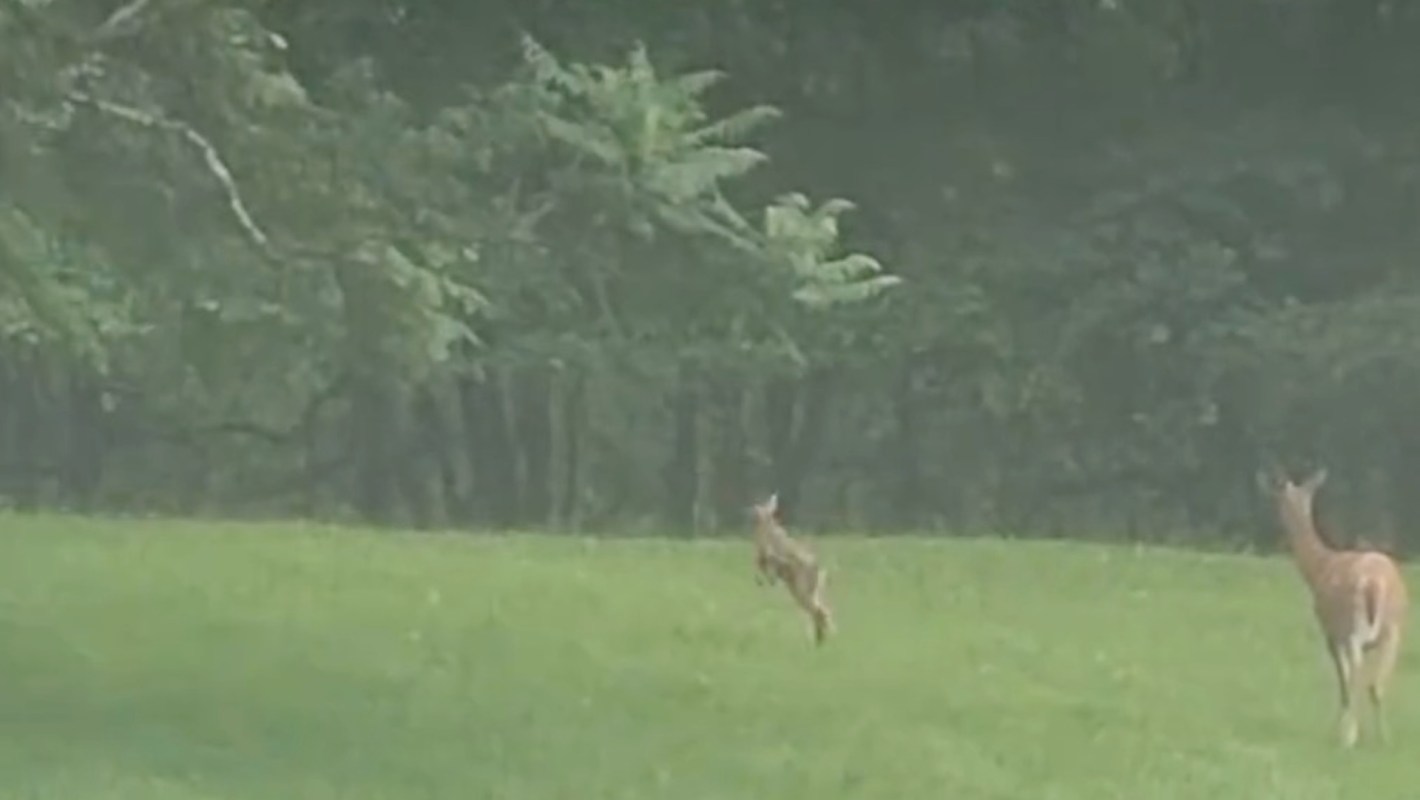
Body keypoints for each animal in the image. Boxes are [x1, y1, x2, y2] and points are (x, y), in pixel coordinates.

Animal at [751, 492, 834, 645]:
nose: (755, 511)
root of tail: (816, 568)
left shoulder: (770, 556)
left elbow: (766, 566)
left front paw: (767, 580)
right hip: (803, 592)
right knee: (819, 611)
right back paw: (819, 642)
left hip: (801, 591)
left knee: (820, 612)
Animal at [1259, 466, 1408, 747]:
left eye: (1280, 500)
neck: (1320, 569)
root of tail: (1374, 583)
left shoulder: (1330, 633)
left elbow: (1343, 681)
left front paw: (1340, 732)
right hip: (1392, 629)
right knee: (1376, 684)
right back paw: (1385, 738)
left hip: (1353, 626)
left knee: (1356, 677)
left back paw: (1349, 738)